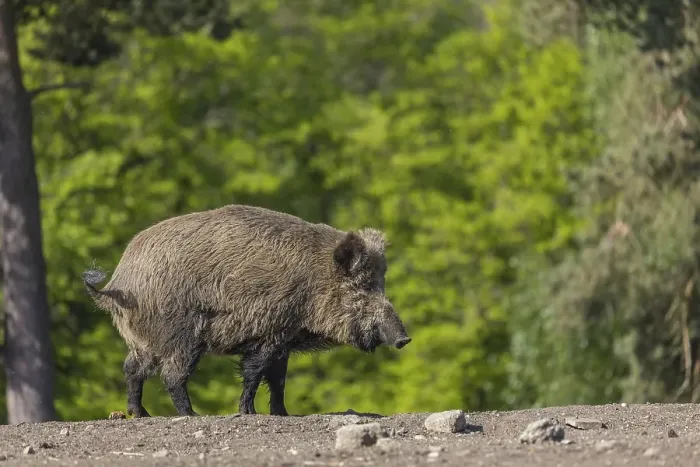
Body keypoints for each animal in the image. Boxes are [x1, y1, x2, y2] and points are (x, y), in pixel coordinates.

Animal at [82, 203, 411, 418]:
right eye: (362, 288)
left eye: (380, 283)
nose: (404, 339)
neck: (313, 282)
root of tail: (119, 283)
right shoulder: (269, 333)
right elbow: (254, 374)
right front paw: (248, 412)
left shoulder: (283, 340)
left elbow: (278, 380)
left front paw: (282, 414)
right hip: (181, 336)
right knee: (172, 376)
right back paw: (192, 415)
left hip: (145, 341)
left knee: (131, 368)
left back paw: (141, 415)